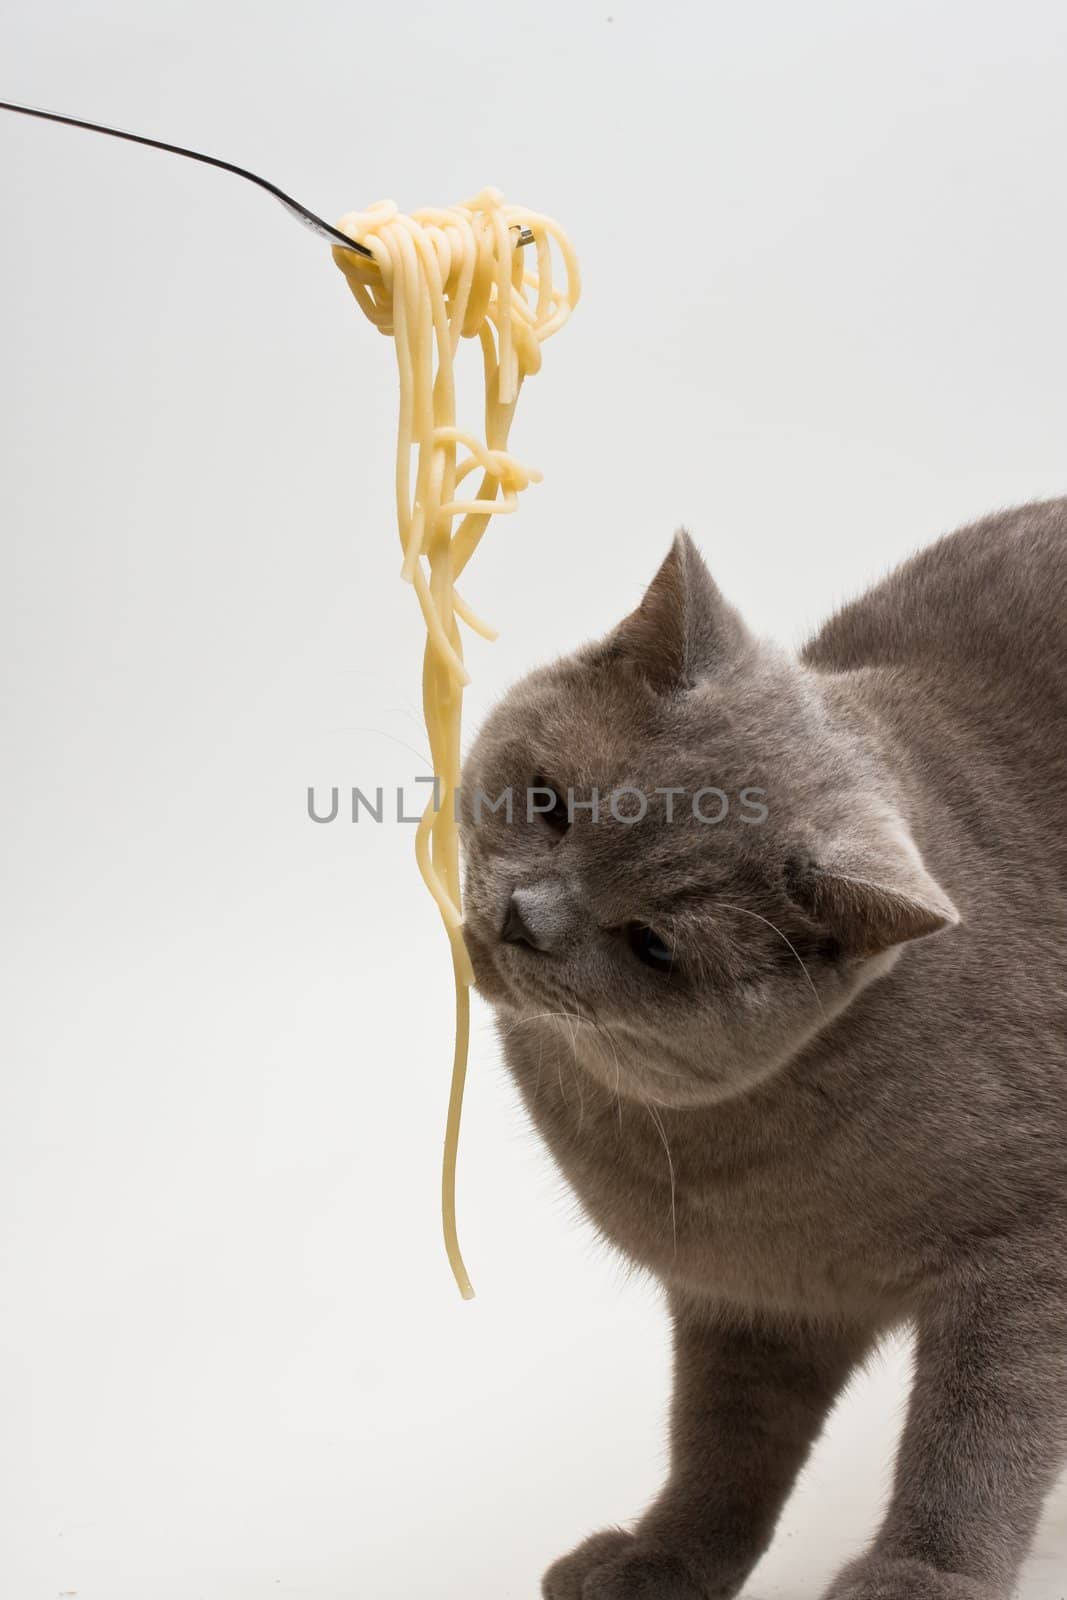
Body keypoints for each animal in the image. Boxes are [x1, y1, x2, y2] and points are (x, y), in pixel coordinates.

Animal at [463, 502, 1067, 1600]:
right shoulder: (747, 1301)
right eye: (549, 803)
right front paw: (659, 1560)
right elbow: (722, 1444)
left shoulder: (1027, 1258)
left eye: (652, 946)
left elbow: (977, 1439)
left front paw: (917, 1576)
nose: (526, 919)